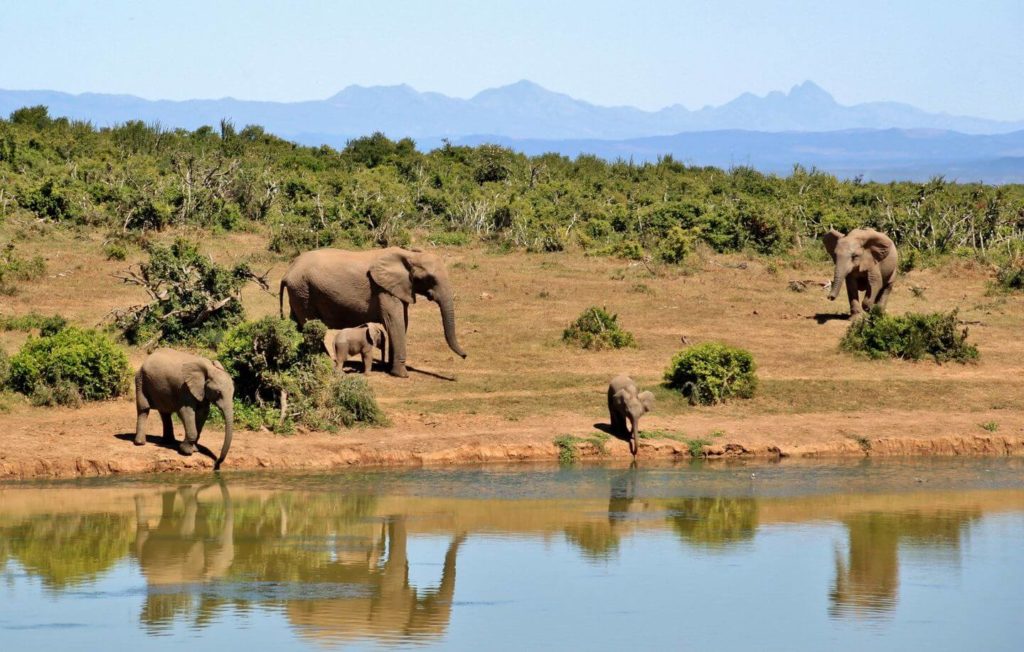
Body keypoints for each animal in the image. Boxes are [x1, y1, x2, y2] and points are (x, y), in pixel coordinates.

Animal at [280, 247, 467, 378]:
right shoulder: (383, 290)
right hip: (304, 290)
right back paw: (325, 362)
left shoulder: (399, 288)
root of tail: (288, 271)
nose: (465, 356)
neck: (409, 255)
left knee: (297, 324)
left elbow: (402, 323)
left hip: (299, 292)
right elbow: (395, 322)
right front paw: (402, 375)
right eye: (430, 279)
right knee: (311, 325)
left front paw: (391, 369)